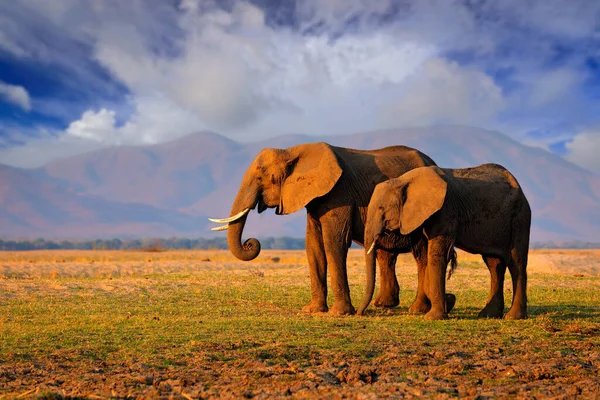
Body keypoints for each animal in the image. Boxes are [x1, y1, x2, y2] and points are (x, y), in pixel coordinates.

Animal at [209, 143, 438, 316]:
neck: (292, 152)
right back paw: (384, 305)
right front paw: (312, 310)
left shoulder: (339, 193)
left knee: (421, 255)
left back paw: (417, 309)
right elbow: (313, 246)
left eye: (260, 179)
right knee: (386, 255)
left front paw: (339, 313)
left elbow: (334, 242)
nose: (250, 242)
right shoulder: (314, 198)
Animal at [356, 164, 528, 320]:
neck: (403, 180)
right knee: (494, 264)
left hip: (519, 217)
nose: (359, 313)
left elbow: (436, 255)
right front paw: (447, 303)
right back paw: (488, 315)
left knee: (516, 262)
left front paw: (433, 317)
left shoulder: (446, 210)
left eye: (381, 208)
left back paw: (513, 317)